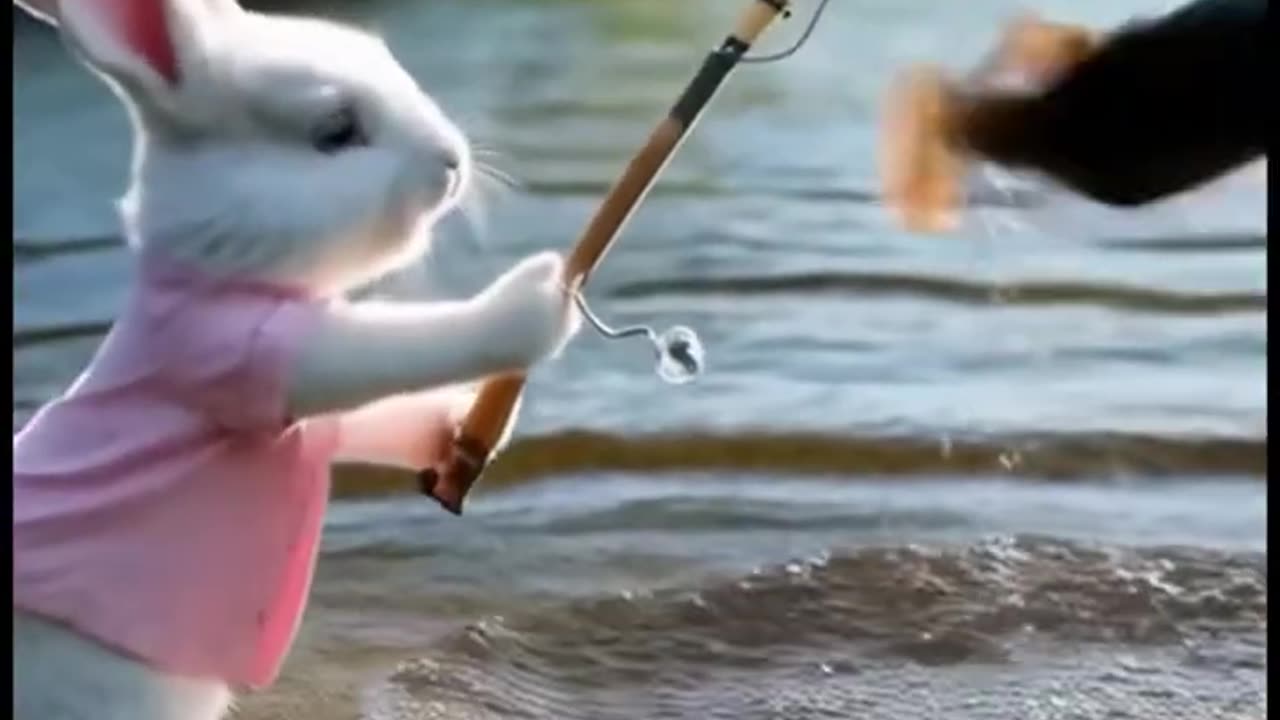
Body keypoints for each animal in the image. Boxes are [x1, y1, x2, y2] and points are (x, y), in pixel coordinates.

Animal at [12, 0, 580, 718]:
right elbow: (393, 347)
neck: (212, 270)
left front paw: (466, 427)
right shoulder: (243, 351)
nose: (452, 161)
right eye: (335, 131)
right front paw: (540, 294)